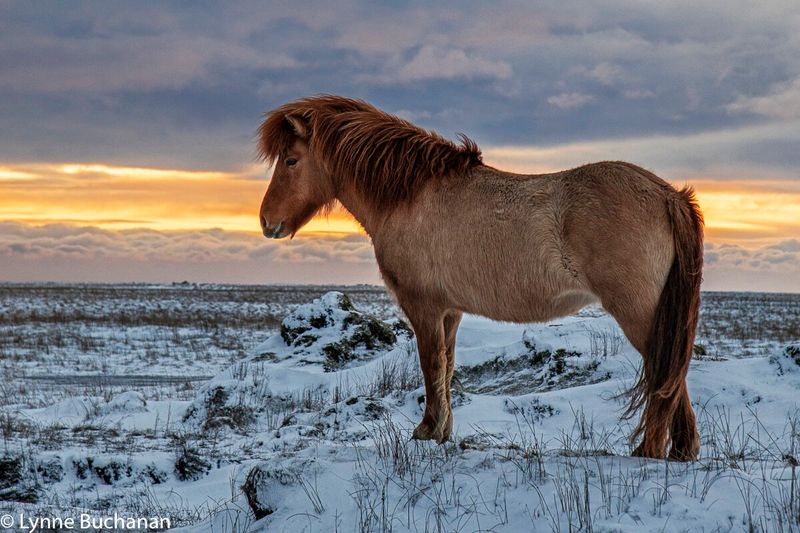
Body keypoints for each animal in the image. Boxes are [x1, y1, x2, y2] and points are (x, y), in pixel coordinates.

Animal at [255, 95, 700, 462]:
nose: (265, 222)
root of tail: (668, 195)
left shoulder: (424, 308)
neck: (410, 196)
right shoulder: (450, 311)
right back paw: (682, 450)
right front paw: (443, 432)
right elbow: (447, 367)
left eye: (291, 160)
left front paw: (426, 432)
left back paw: (649, 450)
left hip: (640, 314)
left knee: (664, 372)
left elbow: (430, 365)